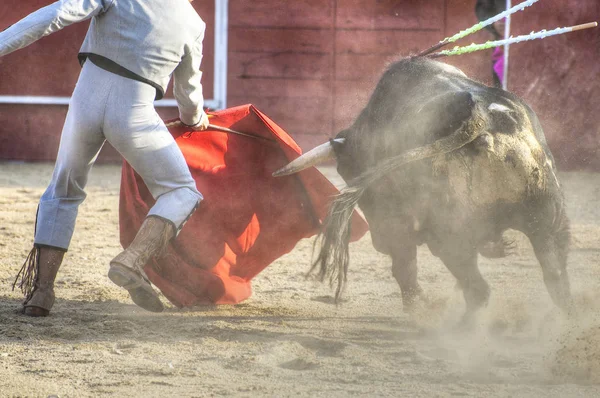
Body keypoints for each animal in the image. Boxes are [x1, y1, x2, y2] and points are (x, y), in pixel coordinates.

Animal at [274, 56, 568, 318]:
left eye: (346, 171)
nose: (378, 242)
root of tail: (481, 117)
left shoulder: (396, 224)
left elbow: (405, 265)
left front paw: (417, 307)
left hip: (449, 236)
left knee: (477, 290)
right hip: (549, 219)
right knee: (555, 276)